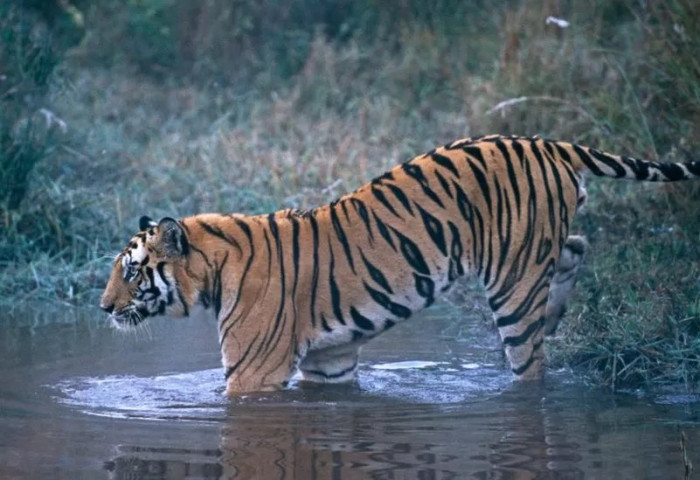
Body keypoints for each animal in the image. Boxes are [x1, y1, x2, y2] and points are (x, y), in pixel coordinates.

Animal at [98, 134, 700, 394]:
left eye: (131, 270)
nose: (102, 307)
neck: (213, 272)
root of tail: (546, 142)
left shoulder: (254, 373)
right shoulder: (330, 360)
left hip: (512, 280)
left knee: (531, 364)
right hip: (538, 251)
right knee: (575, 247)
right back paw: (555, 313)